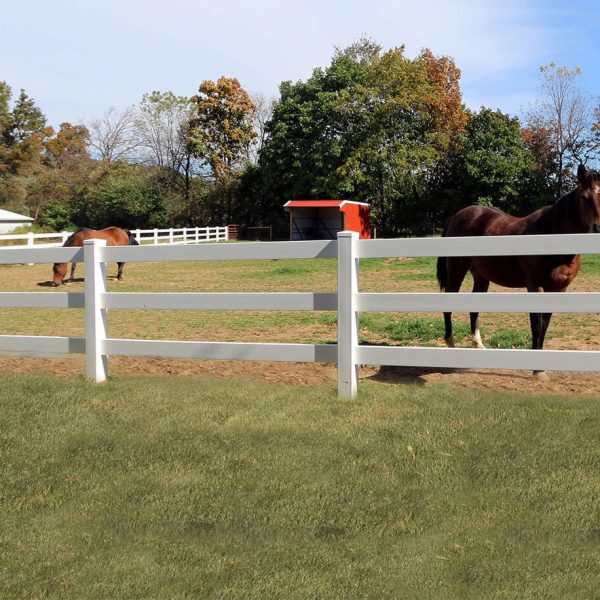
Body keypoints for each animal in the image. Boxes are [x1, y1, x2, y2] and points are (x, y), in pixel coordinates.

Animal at [436, 166, 600, 368]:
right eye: (584, 197)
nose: (598, 228)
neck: (551, 235)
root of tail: (456, 216)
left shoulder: (558, 289)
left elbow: (544, 325)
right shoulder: (535, 287)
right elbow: (536, 326)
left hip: (481, 277)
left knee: (474, 309)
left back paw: (479, 346)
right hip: (457, 269)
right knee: (448, 304)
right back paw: (451, 346)